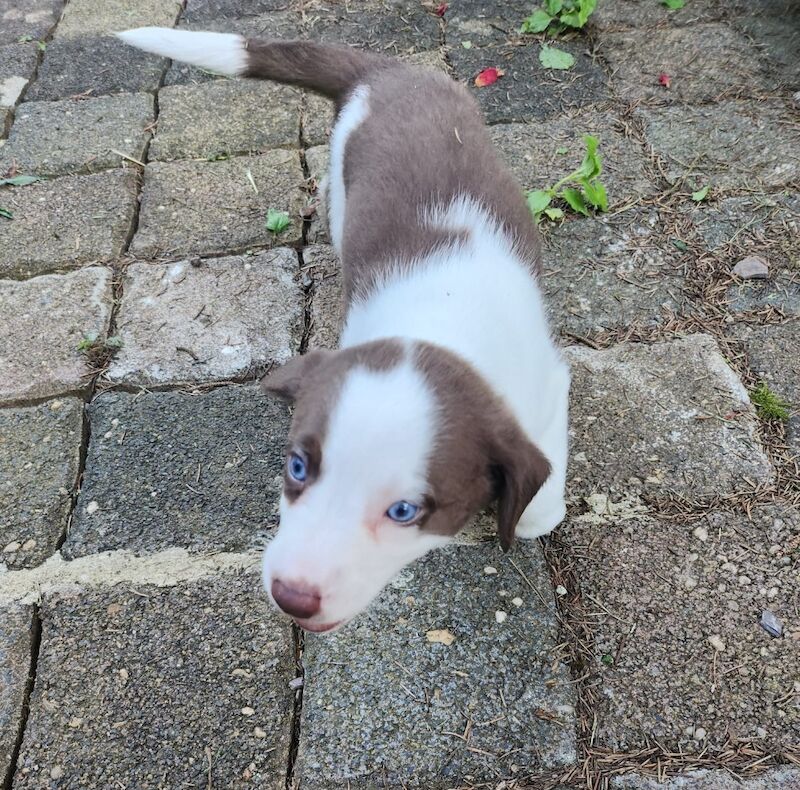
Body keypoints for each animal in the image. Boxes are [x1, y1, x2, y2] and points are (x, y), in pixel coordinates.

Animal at [119, 31, 572, 636]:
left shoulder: (547, 386)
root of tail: (383, 68)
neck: (440, 320)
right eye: (297, 467)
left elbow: (540, 492)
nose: (291, 597)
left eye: (404, 512)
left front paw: (533, 516)